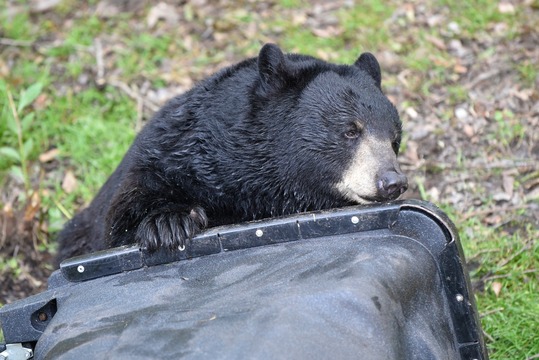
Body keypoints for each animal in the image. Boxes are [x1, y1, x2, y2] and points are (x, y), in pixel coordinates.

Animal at [56, 44, 410, 264]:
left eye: (395, 138)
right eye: (350, 130)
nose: (392, 181)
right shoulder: (172, 154)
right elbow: (119, 222)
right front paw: (168, 223)